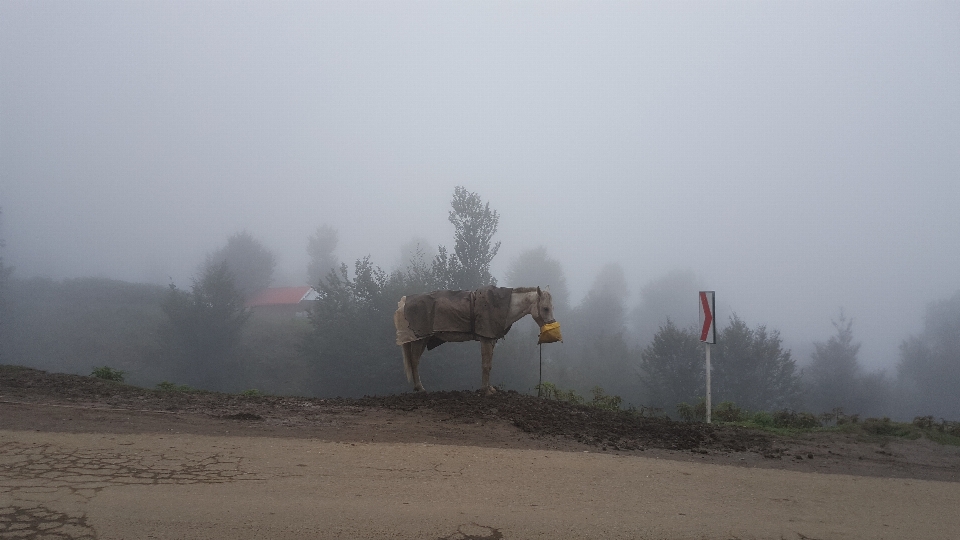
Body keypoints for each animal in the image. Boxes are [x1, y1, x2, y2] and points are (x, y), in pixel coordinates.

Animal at [394, 284, 560, 394]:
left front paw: (489, 388)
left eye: (552, 308)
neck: (502, 306)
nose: (552, 326)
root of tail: (403, 302)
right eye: (545, 308)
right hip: (419, 339)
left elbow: (489, 365)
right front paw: (486, 391)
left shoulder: (491, 339)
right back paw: (420, 388)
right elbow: (485, 365)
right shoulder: (485, 339)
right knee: (414, 361)